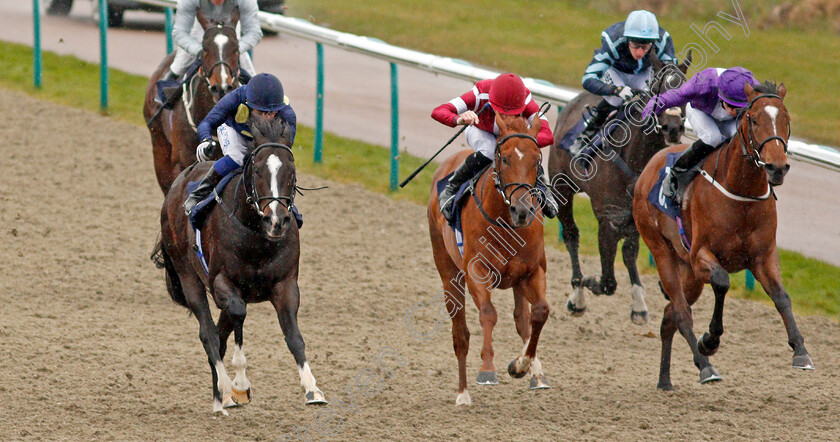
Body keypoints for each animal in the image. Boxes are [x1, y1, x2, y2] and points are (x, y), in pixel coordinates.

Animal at [159, 118, 326, 414]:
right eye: (257, 170)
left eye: (292, 171)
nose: (277, 220)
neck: (257, 235)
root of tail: (175, 187)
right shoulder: (222, 283)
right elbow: (237, 314)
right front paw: (239, 385)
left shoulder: (285, 285)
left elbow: (293, 335)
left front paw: (312, 388)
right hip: (187, 273)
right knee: (209, 333)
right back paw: (225, 392)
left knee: (219, 334)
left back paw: (219, 396)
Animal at [430, 115, 556, 408]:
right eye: (506, 159)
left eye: (537, 160)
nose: (522, 211)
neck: (505, 222)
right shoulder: (476, 270)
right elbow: (488, 313)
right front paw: (487, 369)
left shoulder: (532, 271)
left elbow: (540, 312)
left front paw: (522, 365)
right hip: (449, 274)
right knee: (460, 334)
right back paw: (463, 393)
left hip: (516, 281)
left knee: (522, 319)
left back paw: (536, 374)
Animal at [548, 51, 692, 324]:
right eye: (658, 88)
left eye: (687, 90)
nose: (673, 128)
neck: (636, 159)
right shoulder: (609, 219)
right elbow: (607, 282)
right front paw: (588, 282)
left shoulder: (635, 217)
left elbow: (630, 253)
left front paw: (640, 303)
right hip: (562, 189)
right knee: (571, 235)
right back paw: (577, 293)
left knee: (626, 252)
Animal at [636, 80, 812, 390]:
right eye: (754, 119)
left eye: (786, 119)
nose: (777, 167)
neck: (742, 195)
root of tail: (649, 166)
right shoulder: (701, 255)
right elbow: (722, 282)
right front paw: (710, 340)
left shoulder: (764, 256)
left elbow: (781, 297)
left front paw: (800, 351)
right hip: (662, 251)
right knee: (682, 314)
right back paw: (706, 366)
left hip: (689, 274)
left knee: (670, 316)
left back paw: (665, 380)